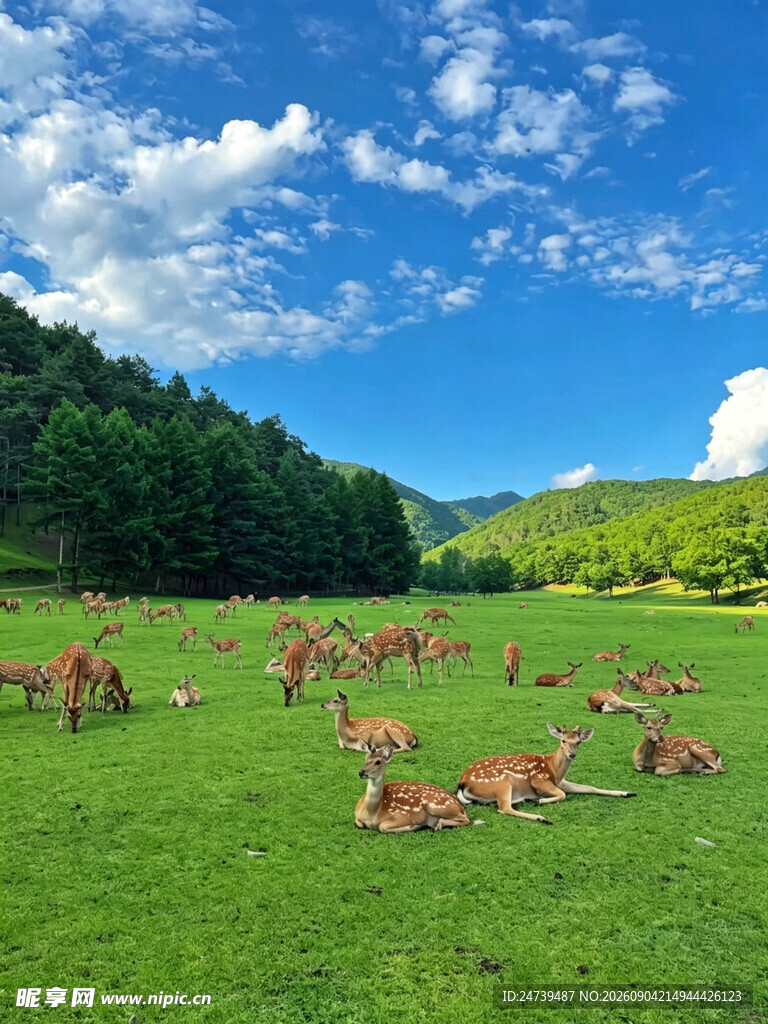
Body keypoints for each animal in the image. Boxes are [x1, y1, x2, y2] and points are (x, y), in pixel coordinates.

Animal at [457, 722, 637, 824]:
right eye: (563, 740)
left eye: (579, 742)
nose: (572, 754)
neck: (553, 769)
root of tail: (462, 783)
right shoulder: (539, 780)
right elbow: (563, 794)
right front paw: (540, 800)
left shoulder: (561, 781)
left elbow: (590, 788)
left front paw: (626, 792)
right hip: (502, 782)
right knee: (504, 808)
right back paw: (542, 817)